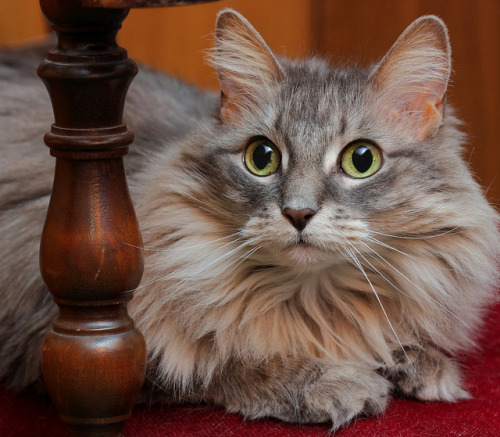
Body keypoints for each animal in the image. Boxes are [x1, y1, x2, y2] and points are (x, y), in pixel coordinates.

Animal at [0, 8, 500, 430]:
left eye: (362, 160)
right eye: (262, 157)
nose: (298, 212)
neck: (314, 301)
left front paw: (422, 364)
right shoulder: (77, 348)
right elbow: (219, 362)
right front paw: (337, 382)